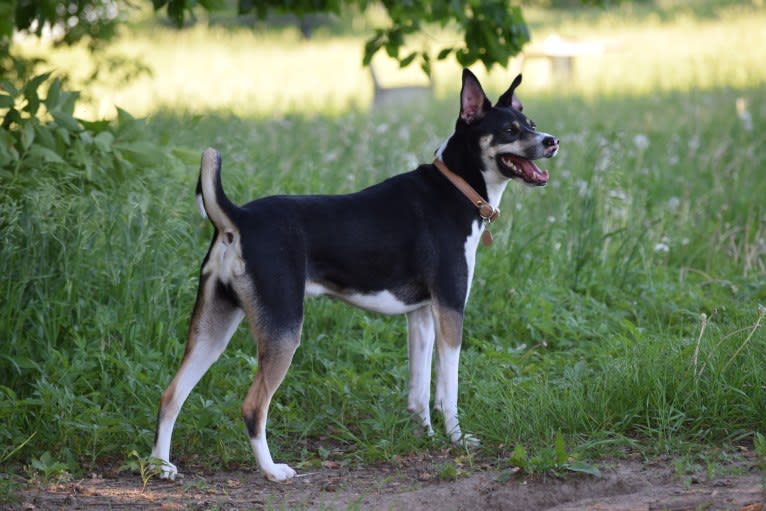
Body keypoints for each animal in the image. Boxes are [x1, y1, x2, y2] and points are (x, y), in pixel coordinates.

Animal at [152, 70, 560, 482]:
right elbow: (448, 389)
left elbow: (418, 390)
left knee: (171, 394)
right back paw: (272, 470)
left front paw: (424, 435)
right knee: (253, 406)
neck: (456, 189)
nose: (552, 141)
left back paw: (161, 466)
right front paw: (457, 439)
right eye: (509, 130)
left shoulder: (421, 315)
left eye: (531, 124)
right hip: (283, 330)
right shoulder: (450, 309)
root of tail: (238, 219)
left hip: (213, 328)